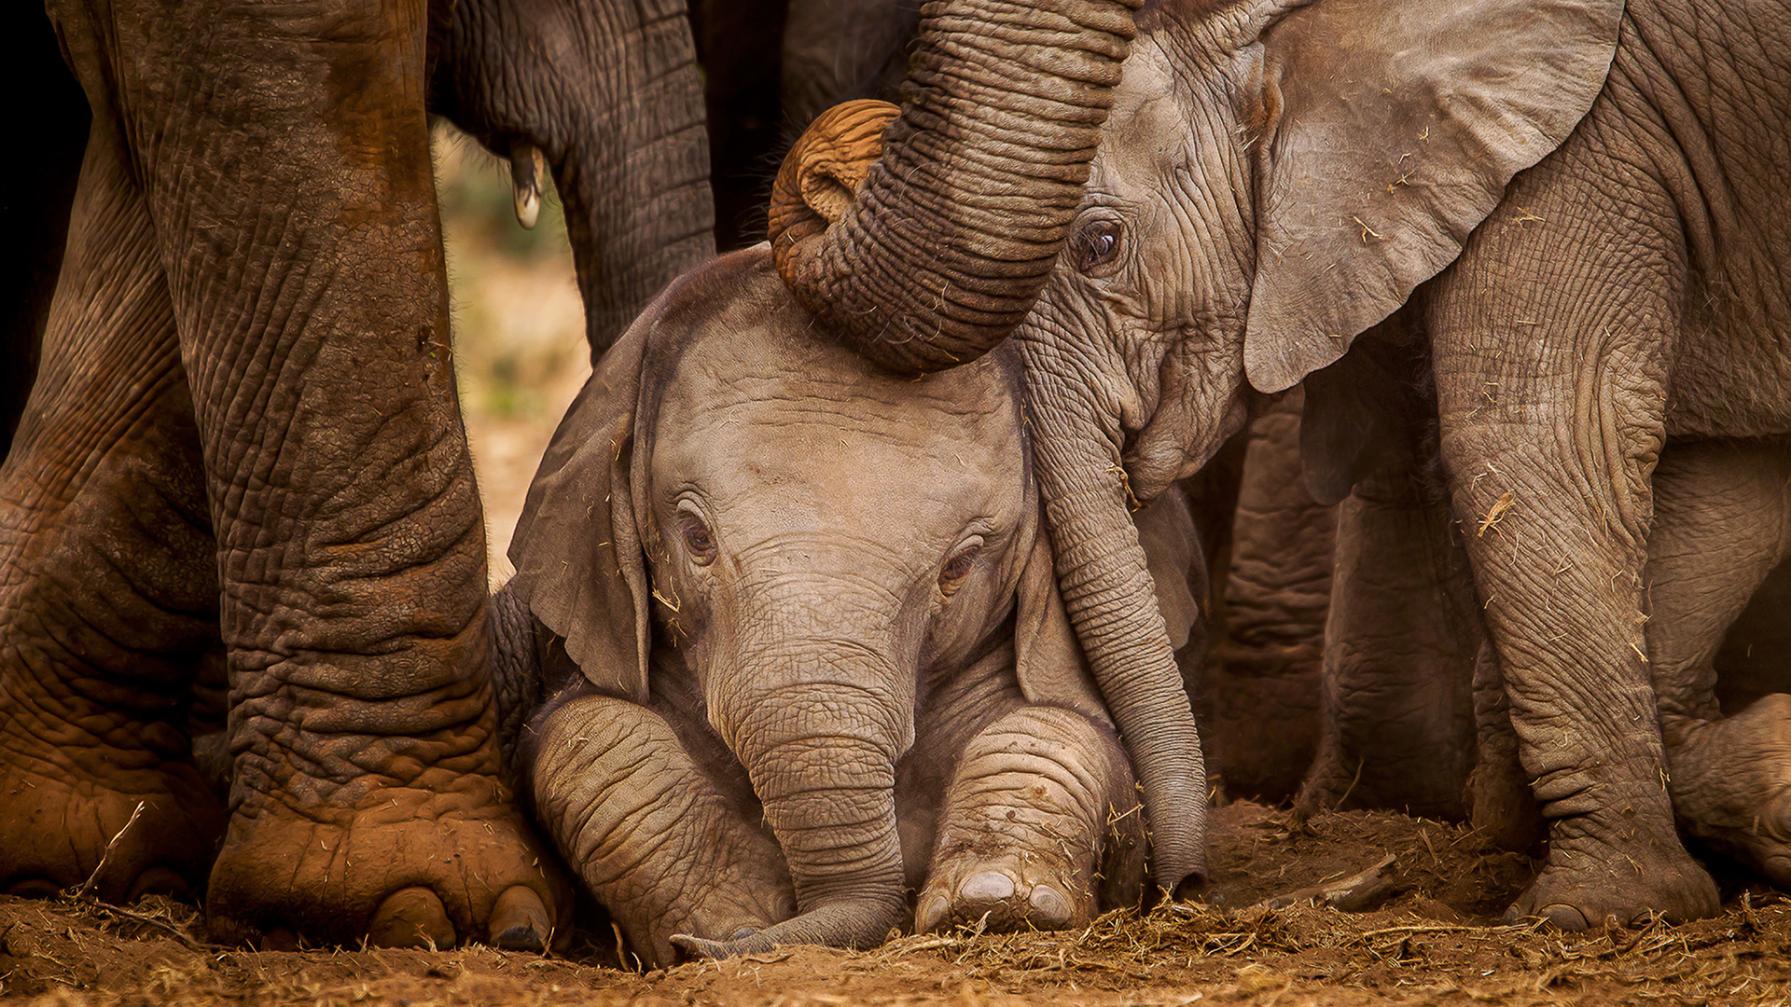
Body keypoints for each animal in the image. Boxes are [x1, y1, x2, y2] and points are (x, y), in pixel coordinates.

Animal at [491, 246, 1162, 967]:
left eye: (959, 564)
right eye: (695, 536)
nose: (711, 944)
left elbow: (1068, 729)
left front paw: (997, 902)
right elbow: (585, 729)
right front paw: (734, 920)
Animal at [788, 0, 1791, 927]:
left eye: (1099, 245)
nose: (1180, 885)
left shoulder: (1593, 139)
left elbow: (1540, 432)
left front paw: (1599, 906)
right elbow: (1724, 479)